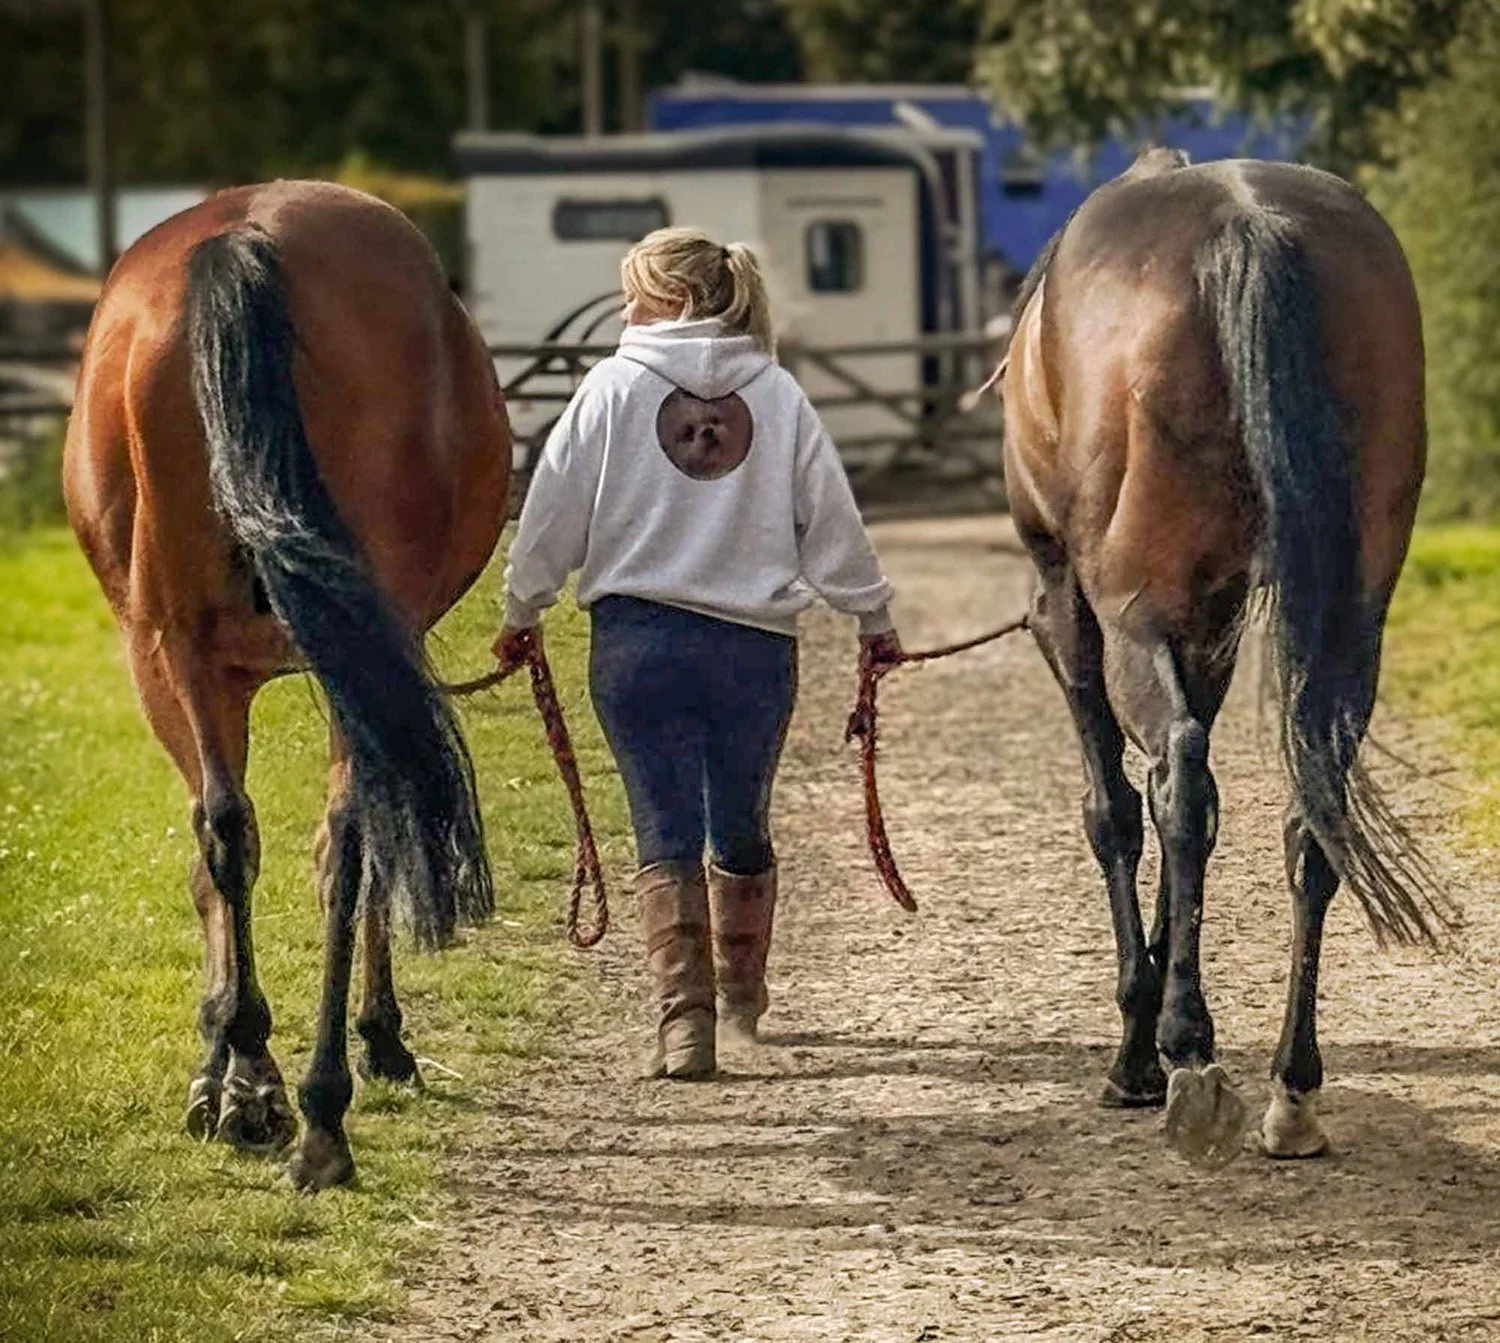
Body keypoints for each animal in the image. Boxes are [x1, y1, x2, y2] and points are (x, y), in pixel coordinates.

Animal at [63, 180, 511, 1189]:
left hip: (184, 648)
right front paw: (367, 1039)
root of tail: (245, 241)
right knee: (331, 838)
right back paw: (319, 1111)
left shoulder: (180, 663)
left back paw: (276, 1092)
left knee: (243, 833)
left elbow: (220, 848)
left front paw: (229, 1065)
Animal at [1000, 148, 1451, 1164]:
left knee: (1177, 782)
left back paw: (1186, 1051)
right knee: (1308, 815)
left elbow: (1117, 812)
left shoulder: (1075, 616)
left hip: (1126, 614)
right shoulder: (1206, 628)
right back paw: (1293, 1089)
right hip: (1348, 628)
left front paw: (1138, 1045)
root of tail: (1246, 224)